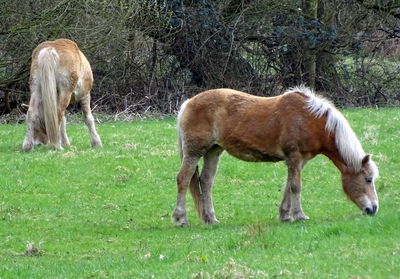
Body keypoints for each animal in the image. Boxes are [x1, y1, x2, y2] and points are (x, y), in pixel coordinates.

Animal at [172, 86, 378, 226]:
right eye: (368, 179)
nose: (374, 208)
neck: (309, 119)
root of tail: (187, 103)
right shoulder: (294, 157)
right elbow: (295, 186)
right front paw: (299, 215)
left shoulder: (299, 161)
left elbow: (289, 185)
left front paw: (285, 215)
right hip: (193, 153)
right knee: (183, 179)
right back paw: (180, 218)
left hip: (213, 151)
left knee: (206, 181)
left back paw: (211, 218)